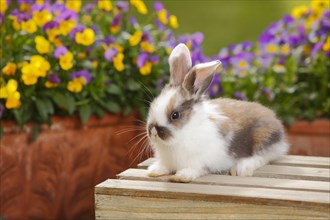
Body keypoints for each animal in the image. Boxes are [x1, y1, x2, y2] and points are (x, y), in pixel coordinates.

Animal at [146, 43, 288, 182]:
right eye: (152, 104)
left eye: (175, 115)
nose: (153, 131)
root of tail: (276, 121)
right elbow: (165, 166)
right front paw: (154, 170)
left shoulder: (201, 161)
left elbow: (195, 169)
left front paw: (182, 176)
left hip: (262, 139)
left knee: (262, 157)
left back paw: (241, 168)